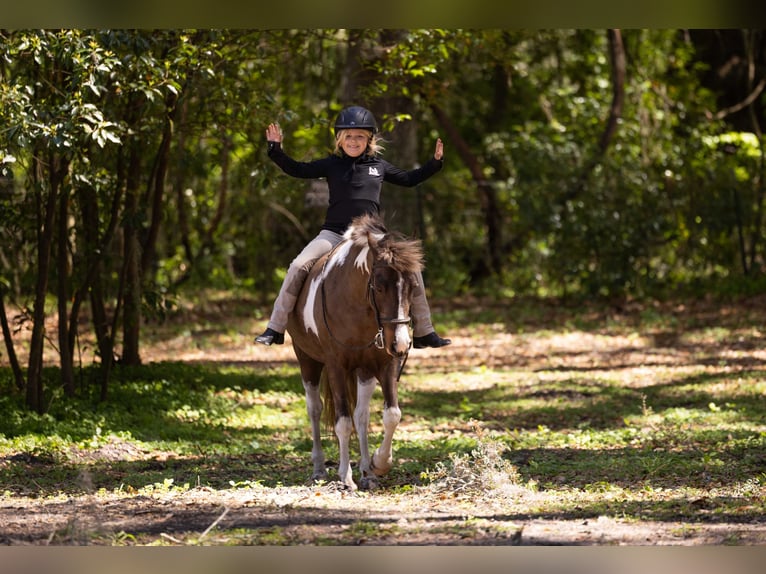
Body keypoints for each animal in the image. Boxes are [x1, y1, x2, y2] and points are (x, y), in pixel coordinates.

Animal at [286, 213, 424, 490]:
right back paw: (319, 469)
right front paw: (346, 477)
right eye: (379, 287)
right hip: (307, 361)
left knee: (361, 415)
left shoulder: (384, 365)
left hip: (364, 371)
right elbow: (342, 422)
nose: (401, 344)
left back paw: (367, 472)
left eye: (413, 287)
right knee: (315, 409)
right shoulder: (336, 367)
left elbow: (391, 415)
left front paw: (378, 464)